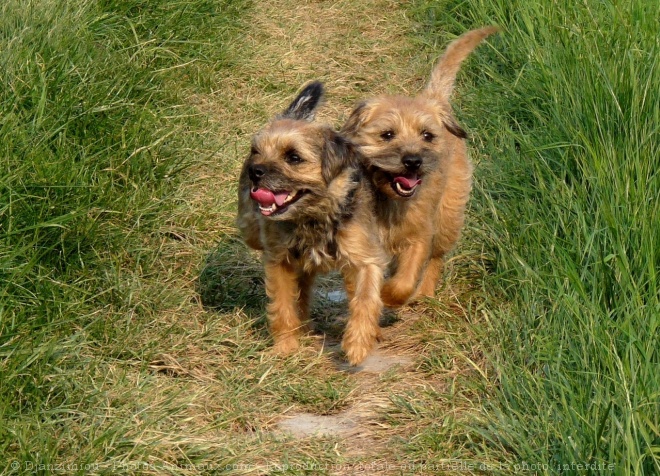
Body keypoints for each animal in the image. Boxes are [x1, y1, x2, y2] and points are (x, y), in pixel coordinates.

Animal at [236, 82, 386, 364]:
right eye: (256, 151)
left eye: (294, 157)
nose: (254, 171)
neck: (313, 216)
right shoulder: (279, 262)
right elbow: (283, 305)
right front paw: (285, 346)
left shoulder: (364, 258)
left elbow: (365, 298)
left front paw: (357, 344)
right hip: (251, 226)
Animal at [342, 27, 498, 308]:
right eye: (387, 135)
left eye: (427, 135)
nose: (413, 160)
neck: (389, 202)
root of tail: (433, 98)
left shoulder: (419, 235)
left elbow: (404, 281)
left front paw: (387, 294)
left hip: (448, 218)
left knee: (436, 258)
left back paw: (424, 291)